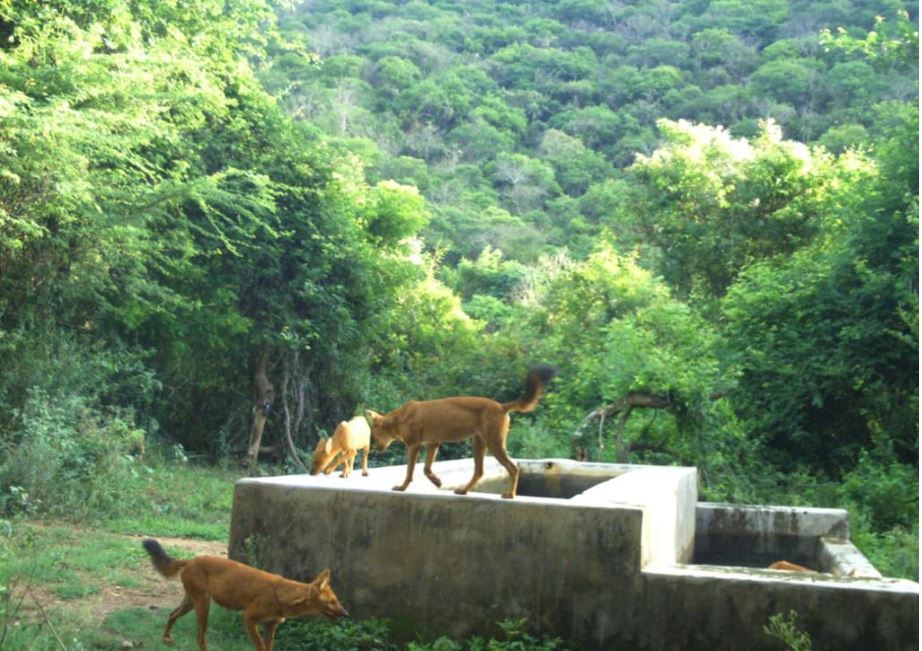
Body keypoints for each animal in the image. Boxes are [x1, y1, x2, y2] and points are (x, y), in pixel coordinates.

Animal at [142, 540, 346, 651]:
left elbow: (269, 648)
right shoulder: (248, 617)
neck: (282, 595)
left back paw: (166, 639)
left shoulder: (271, 625)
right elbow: (260, 647)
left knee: (172, 614)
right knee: (200, 637)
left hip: (191, 602)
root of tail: (191, 560)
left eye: (338, 601)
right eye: (331, 602)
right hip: (203, 603)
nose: (346, 614)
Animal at [364, 366, 552, 500]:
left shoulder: (413, 445)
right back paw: (463, 490)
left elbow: (410, 472)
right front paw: (437, 481)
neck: (399, 417)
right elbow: (426, 469)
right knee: (479, 472)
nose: (374, 448)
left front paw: (402, 488)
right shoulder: (433, 444)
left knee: (513, 468)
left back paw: (510, 495)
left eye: (374, 434)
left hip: (494, 444)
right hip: (478, 443)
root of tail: (501, 405)